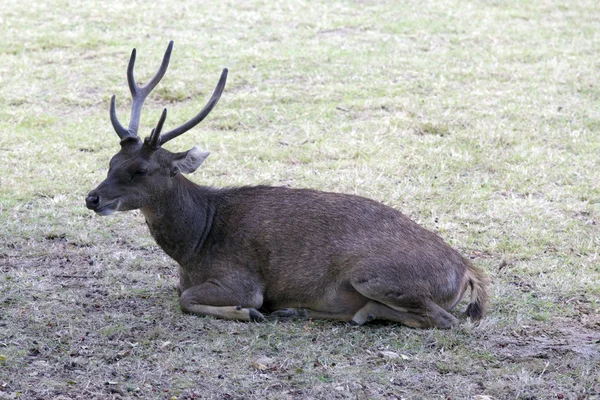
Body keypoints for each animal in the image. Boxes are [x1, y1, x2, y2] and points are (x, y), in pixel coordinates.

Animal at [86, 41, 490, 328]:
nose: (92, 198)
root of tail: (466, 270)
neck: (194, 246)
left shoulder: (241, 281)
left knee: (444, 320)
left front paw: (248, 313)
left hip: (376, 275)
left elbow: (189, 301)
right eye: (111, 162)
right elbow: (181, 295)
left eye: (141, 170)